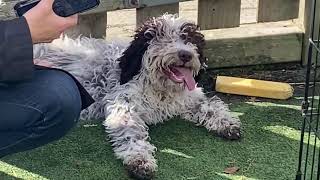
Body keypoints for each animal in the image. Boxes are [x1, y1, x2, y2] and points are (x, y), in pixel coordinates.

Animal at [33, 13, 241, 179]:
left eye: (189, 38)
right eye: (161, 37)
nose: (185, 55)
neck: (160, 89)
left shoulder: (190, 98)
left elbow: (212, 105)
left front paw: (227, 123)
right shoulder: (123, 105)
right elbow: (131, 133)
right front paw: (140, 160)